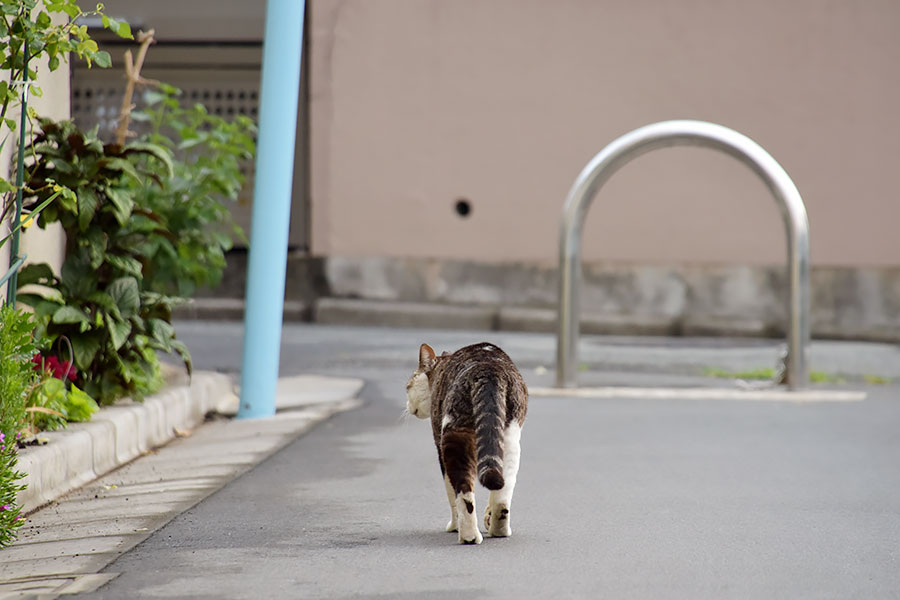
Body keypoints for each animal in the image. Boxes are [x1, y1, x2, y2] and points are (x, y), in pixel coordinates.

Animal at [408, 342, 528, 544]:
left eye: (407, 387)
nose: (408, 406)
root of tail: (489, 370)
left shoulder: (439, 445)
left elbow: (450, 493)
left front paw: (454, 526)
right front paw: (488, 517)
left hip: (456, 433)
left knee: (464, 493)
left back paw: (468, 535)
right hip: (510, 438)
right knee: (502, 491)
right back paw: (499, 529)